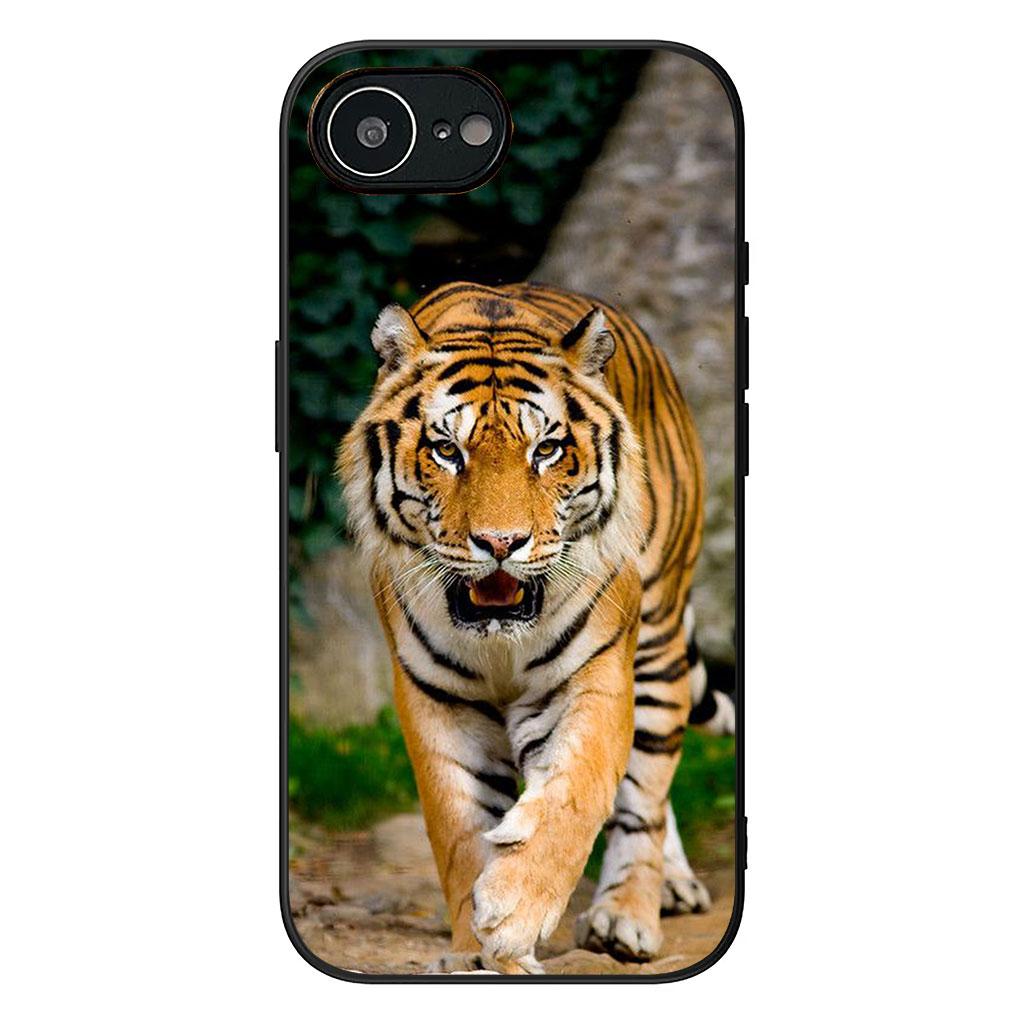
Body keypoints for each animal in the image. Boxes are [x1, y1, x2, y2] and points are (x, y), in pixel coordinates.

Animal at [338, 280, 729, 974]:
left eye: (545, 449)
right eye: (447, 450)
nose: (501, 542)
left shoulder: (594, 676)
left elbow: (577, 796)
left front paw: (514, 912)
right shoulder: (437, 699)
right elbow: (459, 829)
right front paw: (477, 950)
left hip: (657, 640)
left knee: (647, 793)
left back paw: (629, 915)